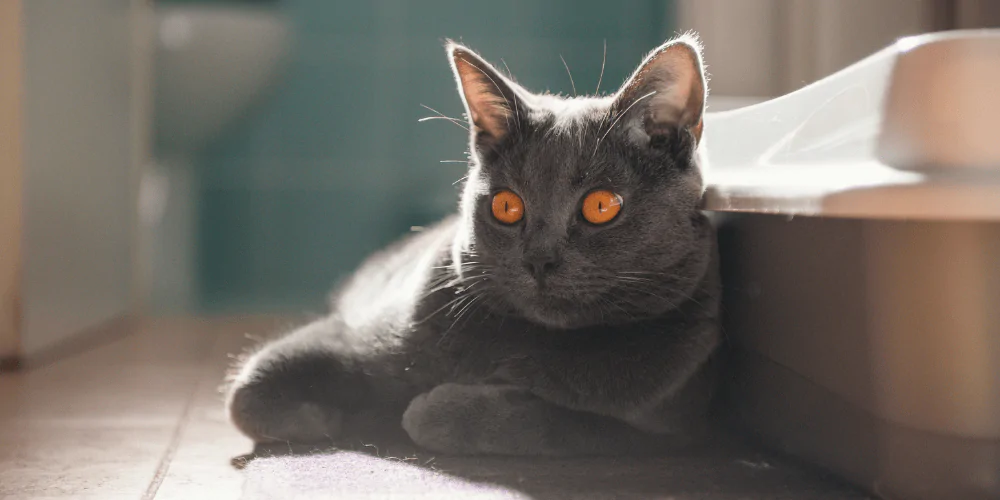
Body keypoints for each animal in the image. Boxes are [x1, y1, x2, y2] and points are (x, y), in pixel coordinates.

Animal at [227, 34, 720, 458]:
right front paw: (323, 416)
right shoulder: (354, 331)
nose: (539, 259)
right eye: (506, 206)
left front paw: (426, 410)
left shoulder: (668, 431)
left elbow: (551, 421)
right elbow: (246, 390)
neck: (524, 340)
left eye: (601, 205)